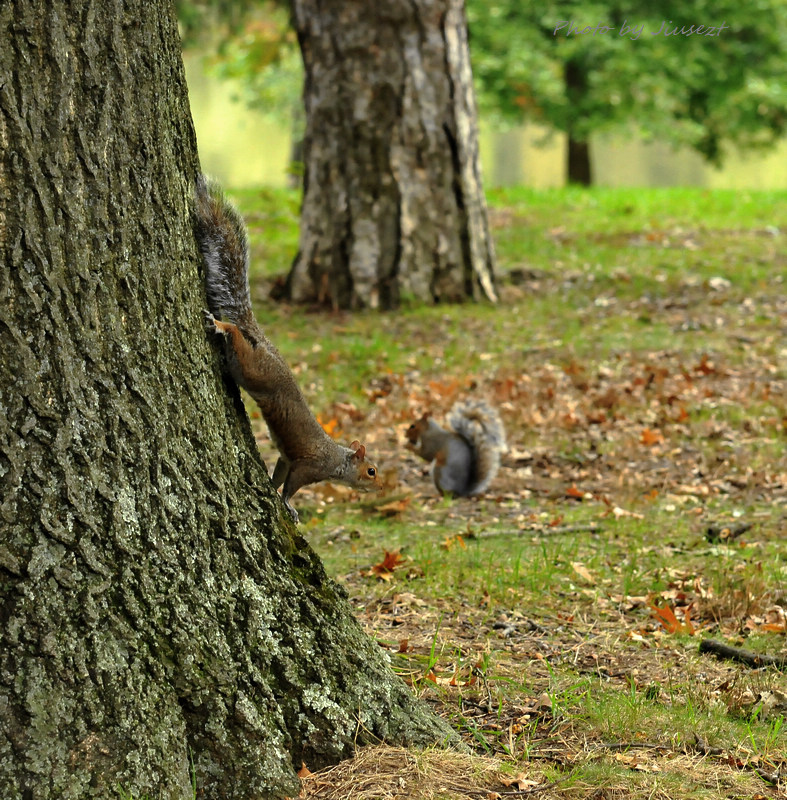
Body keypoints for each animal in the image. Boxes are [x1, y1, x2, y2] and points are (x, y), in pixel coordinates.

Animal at [195, 175, 384, 520]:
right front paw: (288, 505)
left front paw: (270, 488)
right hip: (255, 369)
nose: (381, 487)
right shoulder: (308, 468)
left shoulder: (286, 458)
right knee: (236, 337)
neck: (336, 459)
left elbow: (279, 472)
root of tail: (264, 343)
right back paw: (221, 325)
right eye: (371, 471)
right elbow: (291, 486)